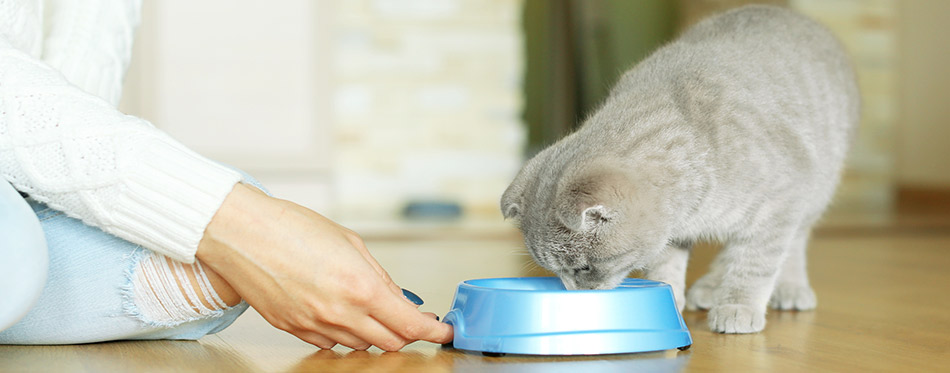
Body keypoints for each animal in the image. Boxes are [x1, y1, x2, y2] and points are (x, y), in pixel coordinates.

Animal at [506, 4, 864, 332]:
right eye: (556, 271)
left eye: (582, 268)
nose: (572, 293)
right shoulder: (673, 234)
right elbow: (666, 267)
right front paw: (671, 298)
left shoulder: (781, 203)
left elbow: (755, 262)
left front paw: (738, 305)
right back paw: (709, 287)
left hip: (816, 193)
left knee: (793, 244)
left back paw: (789, 287)